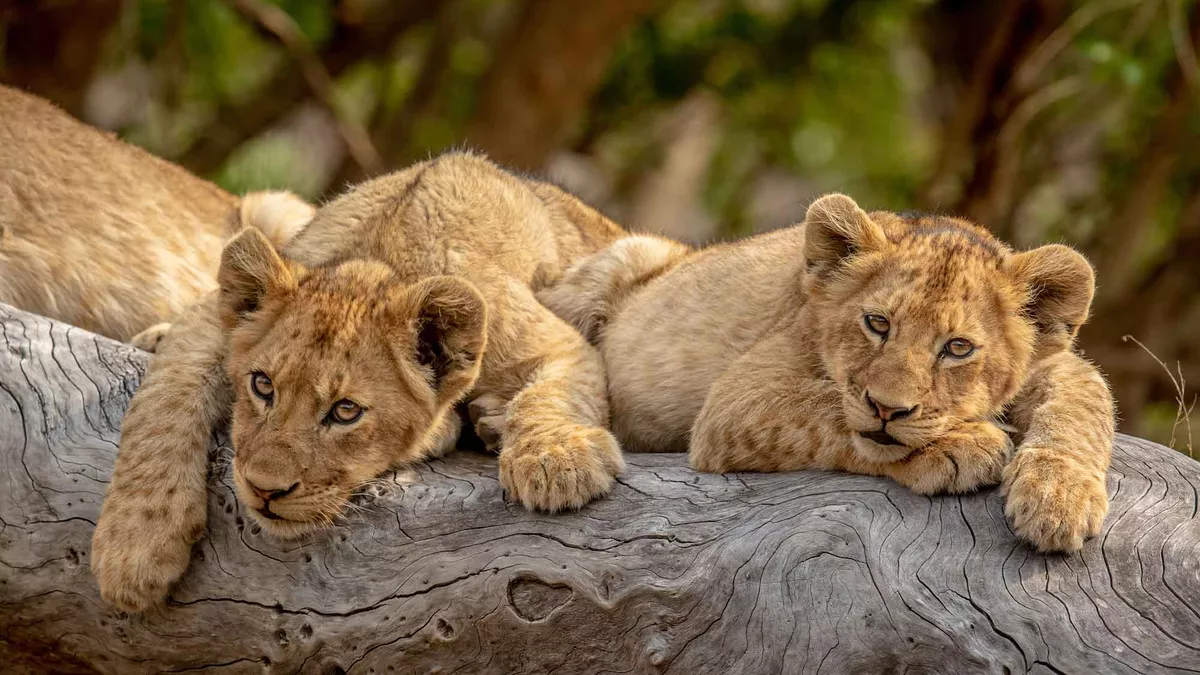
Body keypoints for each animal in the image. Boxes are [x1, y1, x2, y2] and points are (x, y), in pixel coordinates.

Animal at [91, 151, 630, 611]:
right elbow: (162, 403)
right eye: (262, 386)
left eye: (345, 411)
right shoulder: (212, 322)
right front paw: (133, 549)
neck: (387, 258)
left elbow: (554, 394)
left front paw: (558, 462)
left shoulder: (557, 344)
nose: (264, 491)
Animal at [538, 194, 1115, 553]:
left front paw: (1059, 498)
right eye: (877, 323)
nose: (887, 408)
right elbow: (827, 411)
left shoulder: (1055, 361)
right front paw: (963, 446)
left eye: (957, 348)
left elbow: (1087, 397)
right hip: (620, 260)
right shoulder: (737, 400)